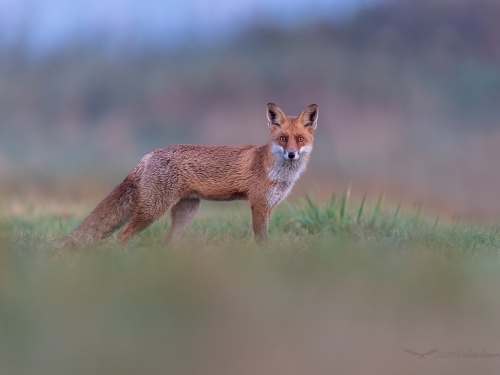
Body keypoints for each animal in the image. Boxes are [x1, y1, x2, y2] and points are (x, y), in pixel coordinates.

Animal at [64, 103, 318, 245]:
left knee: (167, 243)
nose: (292, 155)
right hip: (152, 210)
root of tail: (148, 155)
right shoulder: (259, 205)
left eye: (300, 139)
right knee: (122, 236)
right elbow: (261, 240)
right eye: (283, 139)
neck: (278, 173)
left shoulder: (270, 206)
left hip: (186, 213)